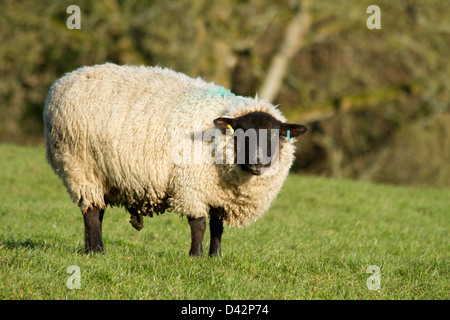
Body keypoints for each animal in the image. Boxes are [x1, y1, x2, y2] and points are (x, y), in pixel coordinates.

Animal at [44, 63, 308, 256]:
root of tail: (62, 81)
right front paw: (196, 256)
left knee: (97, 210)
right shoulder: (191, 186)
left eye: (274, 136)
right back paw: (97, 251)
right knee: (90, 212)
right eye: (242, 133)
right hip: (79, 165)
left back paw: (91, 249)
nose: (257, 164)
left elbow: (218, 227)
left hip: (99, 173)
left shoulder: (218, 194)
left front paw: (215, 257)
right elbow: (199, 224)